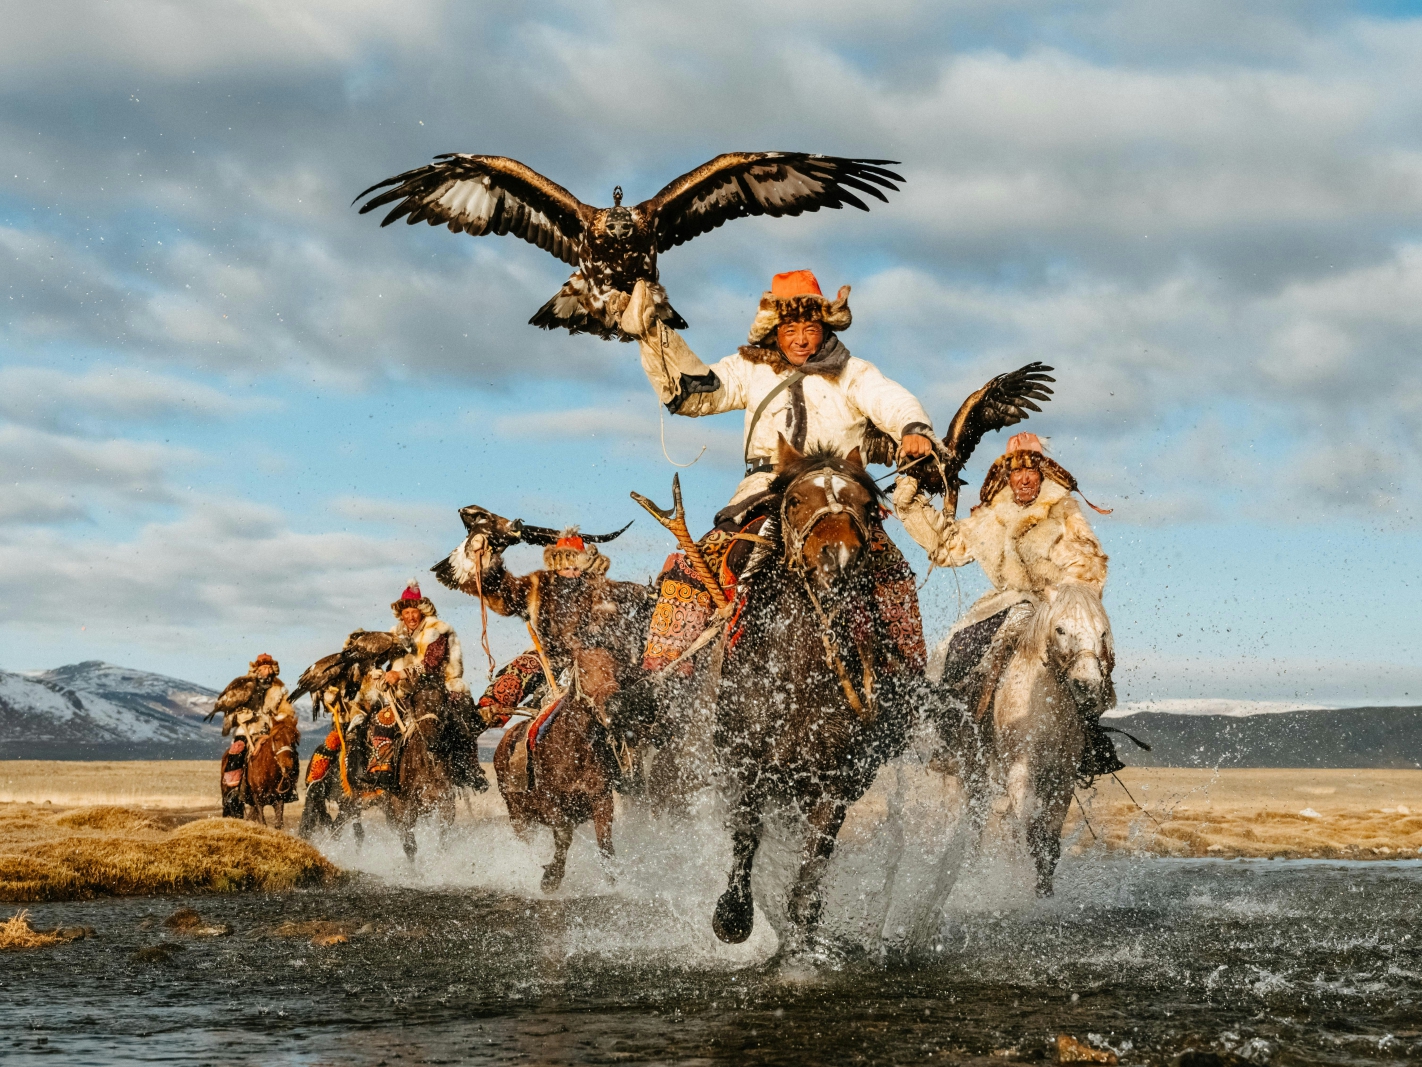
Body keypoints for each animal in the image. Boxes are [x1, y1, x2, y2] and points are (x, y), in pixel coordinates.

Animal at [494, 648, 622, 899]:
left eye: (616, 667)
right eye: (584, 670)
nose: (614, 707)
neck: (573, 750)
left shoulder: (601, 799)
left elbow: (605, 843)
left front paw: (614, 883)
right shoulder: (550, 803)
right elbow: (563, 836)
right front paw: (550, 879)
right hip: (517, 814)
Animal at [708, 438, 921, 950]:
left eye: (867, 506)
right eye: (796, 501)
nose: (839, 558)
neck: (795, 679)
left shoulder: (836, 779)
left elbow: (817, 853)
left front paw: (804, 929)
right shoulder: (743, 762)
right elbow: (746, 830)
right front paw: (732, 915)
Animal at [932, 580, 1120, 899]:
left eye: (1102, 632)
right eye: (1060, 629)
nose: (1088, 685)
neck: (1044, 707)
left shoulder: (1061, 778)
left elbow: (1049, 842)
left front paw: (1044, 892)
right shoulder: (1020, 773)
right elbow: (1032, 833)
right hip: (968, 774)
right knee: (972, 824)